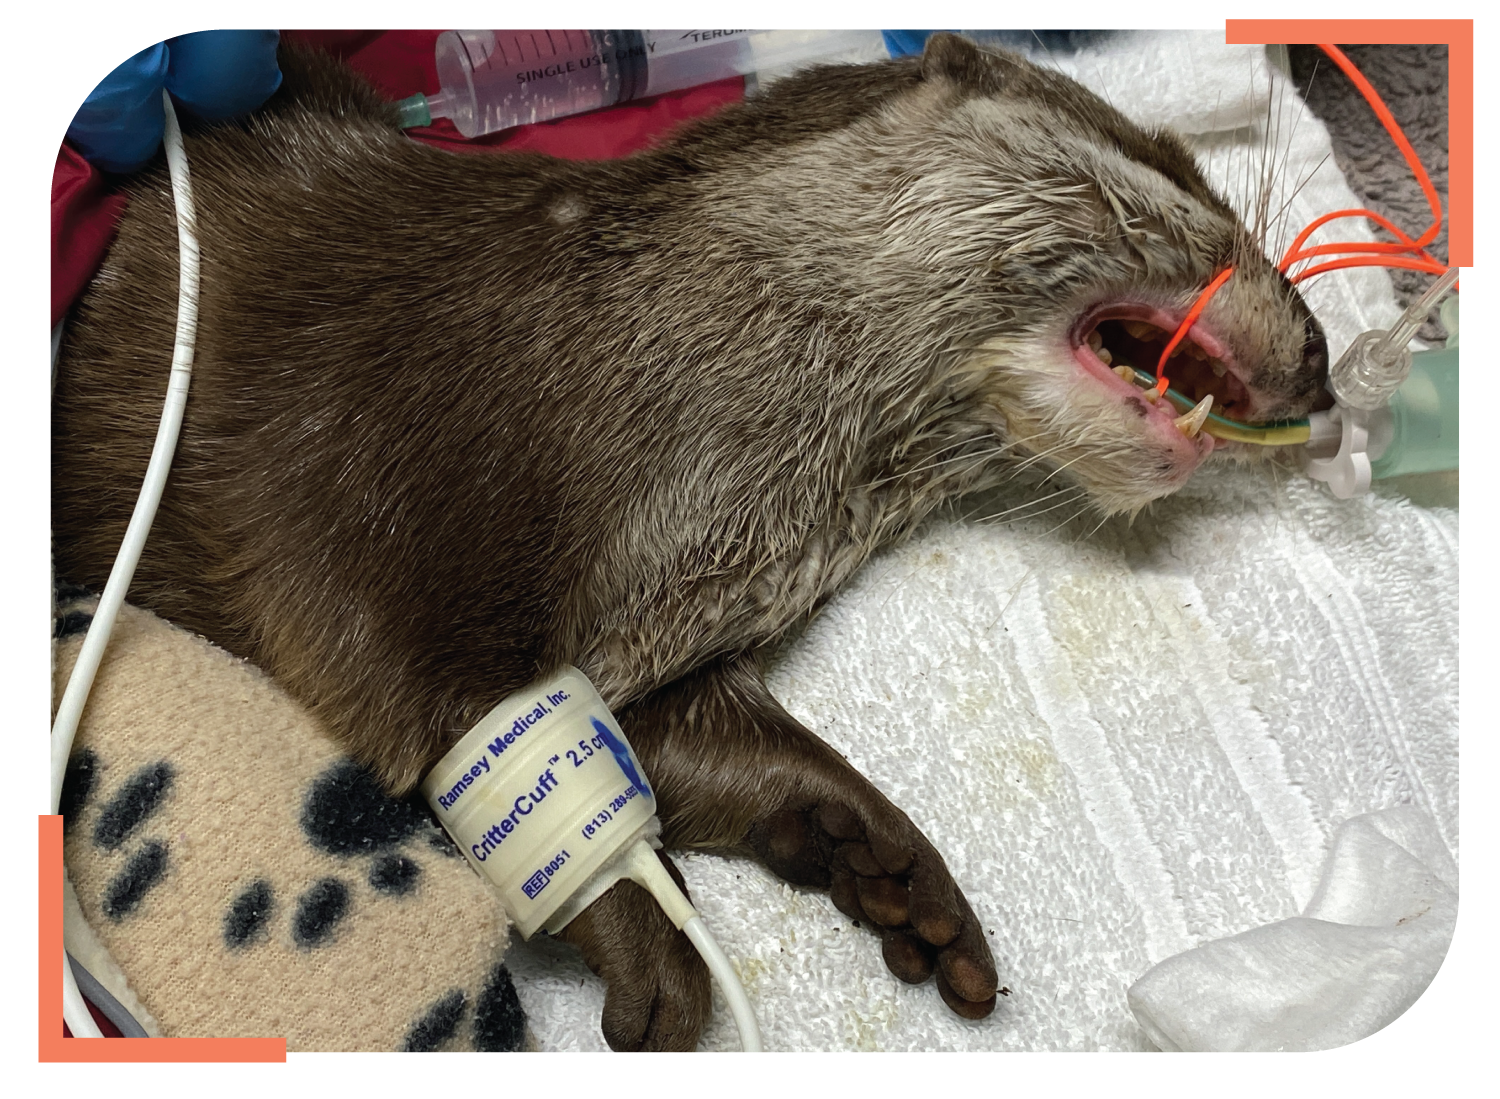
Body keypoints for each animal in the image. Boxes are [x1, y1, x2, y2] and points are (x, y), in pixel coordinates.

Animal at [50, 34, 1330, 1051]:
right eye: (1177, 169)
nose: (1321, 357)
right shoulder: (364, 471)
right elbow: (419, 685)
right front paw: (646, 933)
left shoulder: (679, 629)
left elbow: (688, 740)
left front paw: (878, 856)